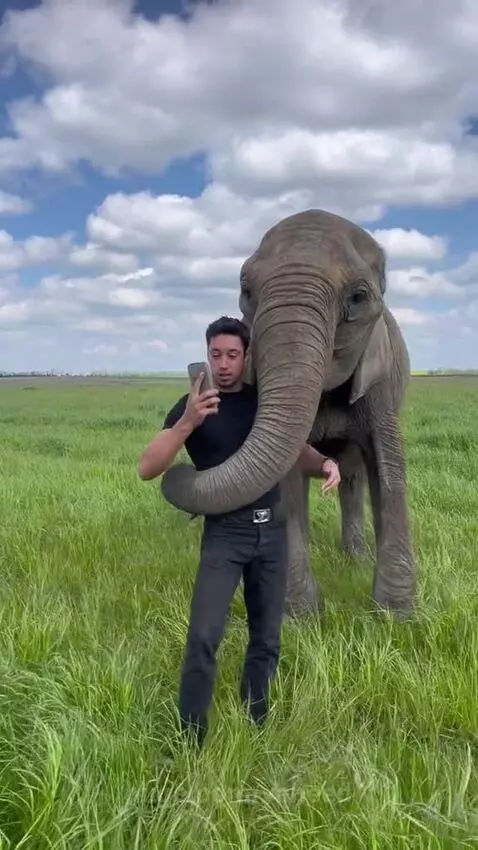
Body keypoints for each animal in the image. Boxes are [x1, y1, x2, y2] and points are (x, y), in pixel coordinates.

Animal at [161, 209, 416, 619]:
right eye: (246, 292)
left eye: (358, 298)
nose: (181, 468)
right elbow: (288, 482)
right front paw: (299, 618)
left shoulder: (382, 379)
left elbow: (388, 469)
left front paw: (396, 619)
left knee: (354, 475)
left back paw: (355, 560)